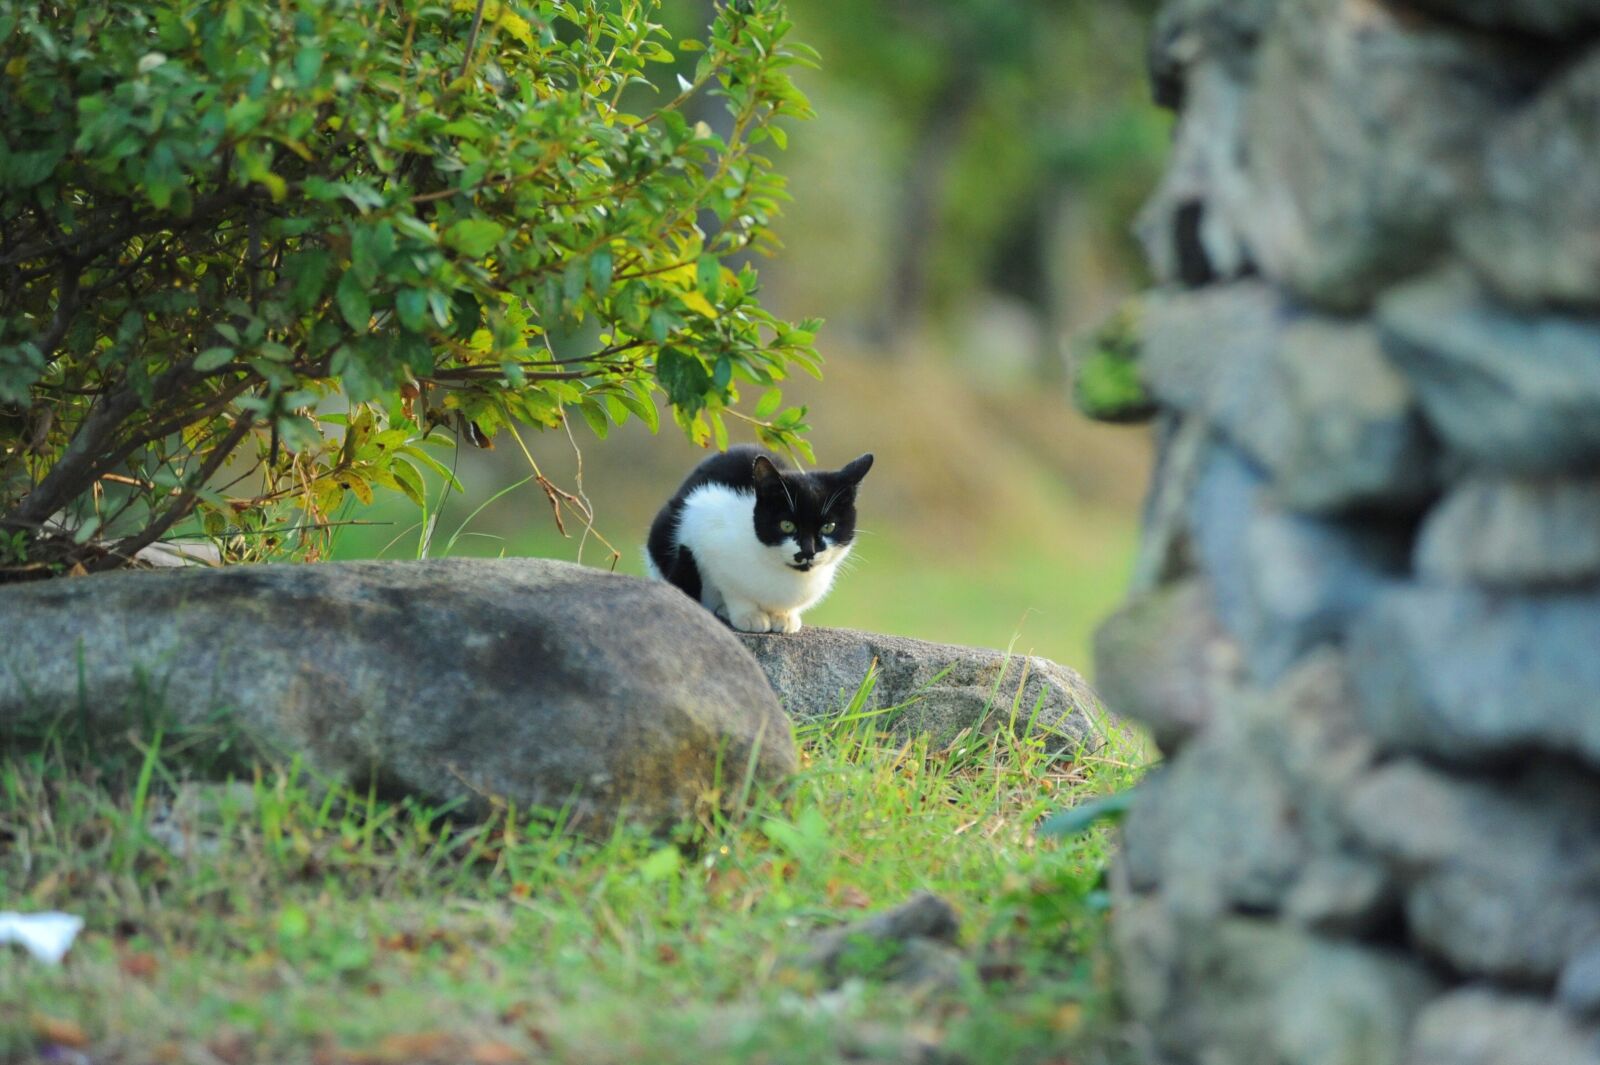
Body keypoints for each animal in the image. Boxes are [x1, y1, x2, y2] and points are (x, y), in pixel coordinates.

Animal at [646, 441, 876, 630]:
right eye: (787, 525)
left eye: (828, 527)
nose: (808, 550)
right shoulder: (701, 521)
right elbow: (730, 588)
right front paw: (748, 615)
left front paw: (784, 616)